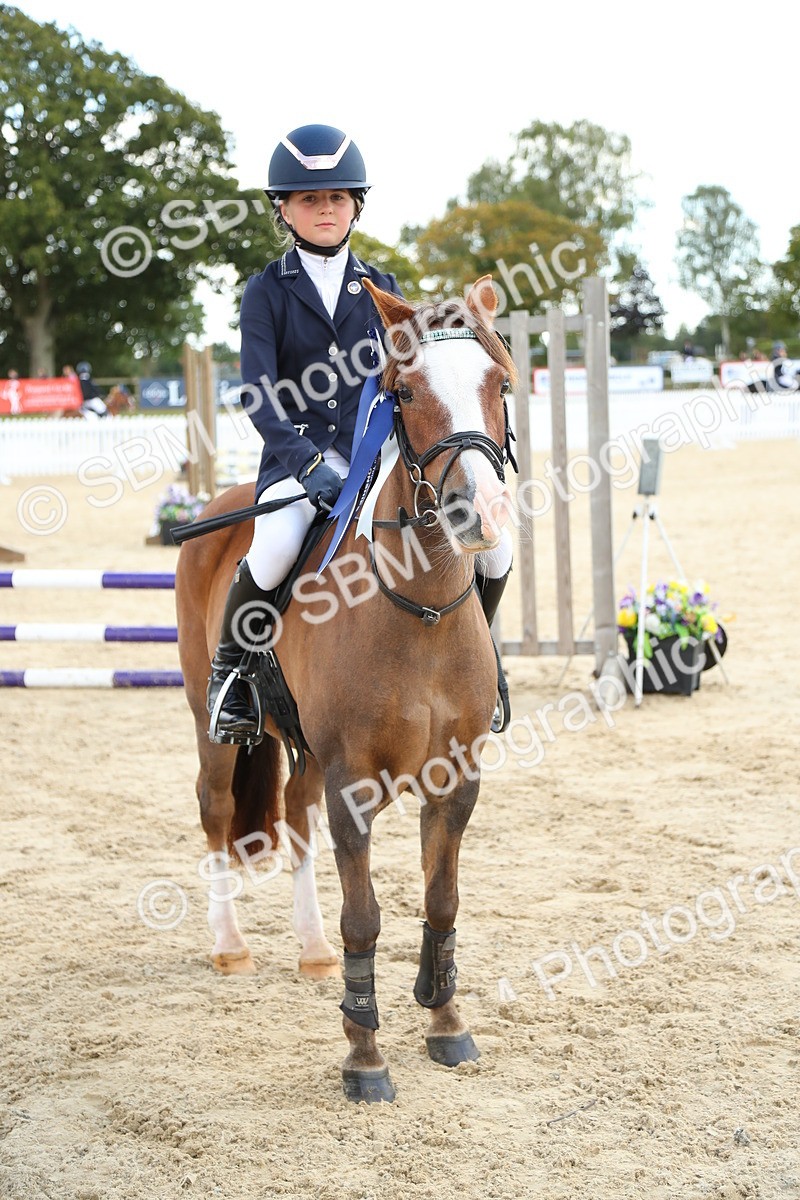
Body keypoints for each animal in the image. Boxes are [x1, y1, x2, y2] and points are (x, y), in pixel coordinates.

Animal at [175, 275, 517, 1103]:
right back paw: (230, 946)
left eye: (499, 384)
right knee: (217, 809)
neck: (419, 605)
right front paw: (365, 1057)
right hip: (210, 723)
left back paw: (309, 950)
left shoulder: (455, 778)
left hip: (306, 755)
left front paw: (446, 1022)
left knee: (294, 816)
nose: (478, 514)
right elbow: (363, 917)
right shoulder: (353, 783)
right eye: (406, 392)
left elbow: (441, 899)